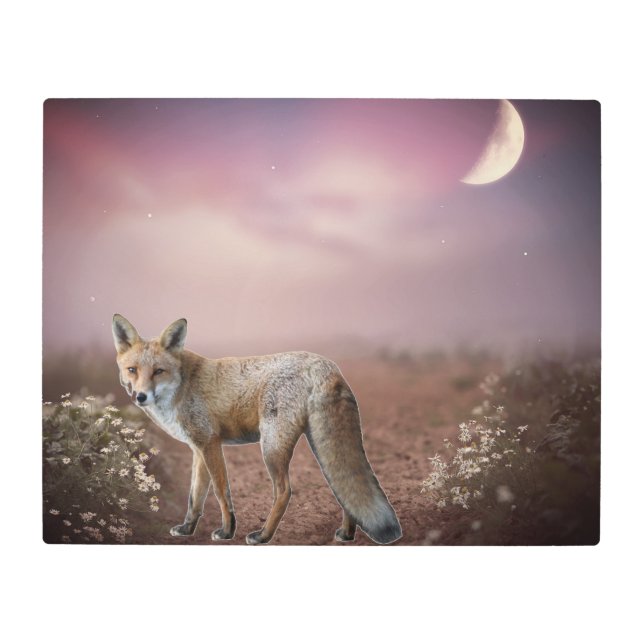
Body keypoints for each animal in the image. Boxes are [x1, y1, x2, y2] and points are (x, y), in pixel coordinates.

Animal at [112, 314, 402, 545]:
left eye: (158, 371)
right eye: (132, 370)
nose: (141, 397)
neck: (182, 386)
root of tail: (326, 365)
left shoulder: (210, 443)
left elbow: (221, 492)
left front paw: (227, 531)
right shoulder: (198, 448)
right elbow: (195, 496)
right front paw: (187, 528)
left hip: (271, 447)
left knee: (285, 492)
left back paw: (263, 535)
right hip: (318, 444)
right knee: (342, 488)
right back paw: (347, 533)